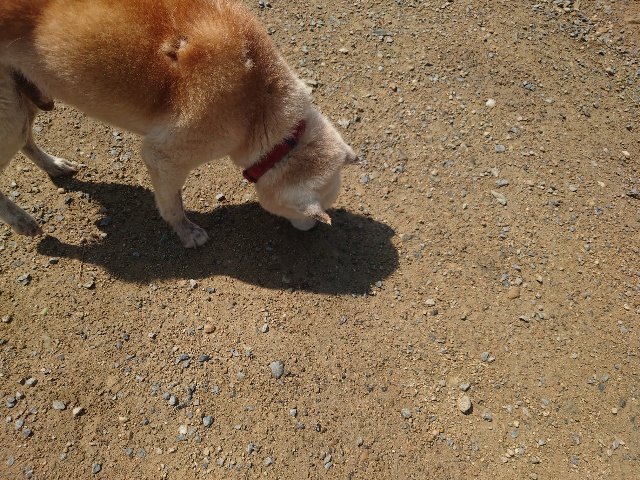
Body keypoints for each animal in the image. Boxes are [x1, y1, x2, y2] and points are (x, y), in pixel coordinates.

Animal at [0, 0, 356, 247]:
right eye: (305, 214)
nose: (313, 230)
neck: (259, 99)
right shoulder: (166, 155)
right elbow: (172, 203)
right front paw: (186, 232)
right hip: (9, 118)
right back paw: (21, 221)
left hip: (22, 98)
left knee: (28, 140)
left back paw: (55, 166)